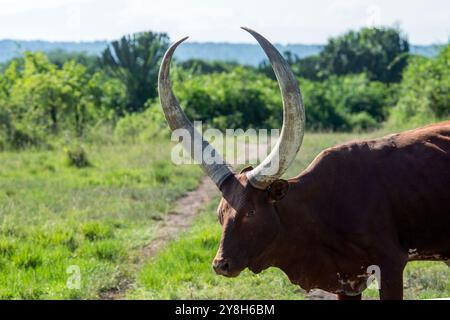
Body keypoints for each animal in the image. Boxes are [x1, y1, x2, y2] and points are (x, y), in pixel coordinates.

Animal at [158, 27, 450, 300]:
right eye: (220, 213)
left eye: (250, 212)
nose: (221, 264)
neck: (324, 205)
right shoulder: (347, 280)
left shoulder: (390, 264)